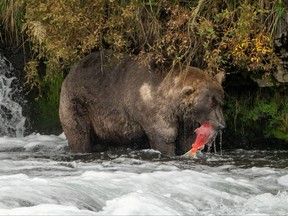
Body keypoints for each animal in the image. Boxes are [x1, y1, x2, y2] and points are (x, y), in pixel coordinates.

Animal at [58, 51, 225, 155]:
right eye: (211, 103)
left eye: (220, 102)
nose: (222, 125)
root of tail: (71, 71)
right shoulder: (154, 109)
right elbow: (165, 136)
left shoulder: (184, 117)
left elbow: (186, 138)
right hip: (78, 102)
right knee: (79, 132)